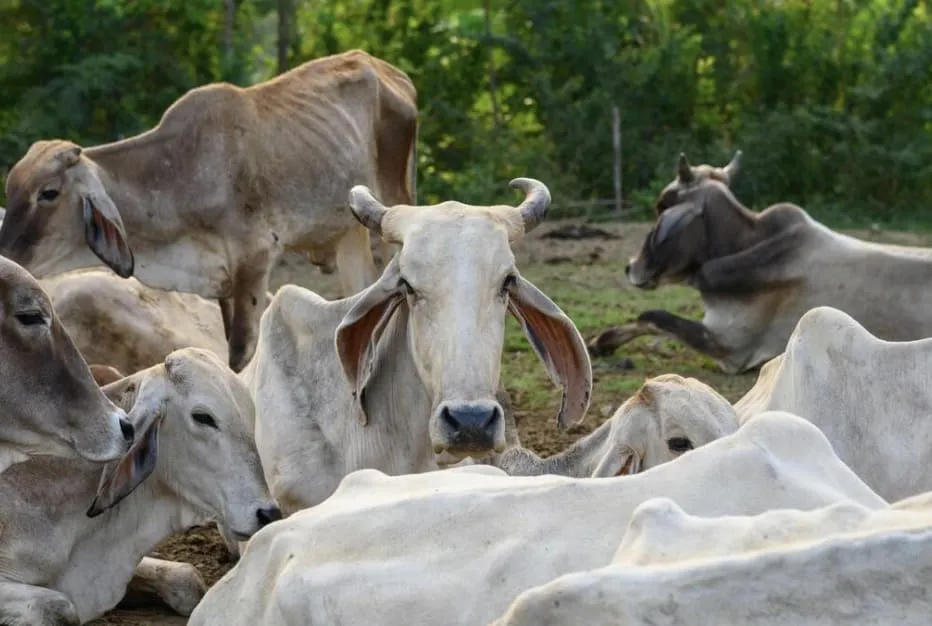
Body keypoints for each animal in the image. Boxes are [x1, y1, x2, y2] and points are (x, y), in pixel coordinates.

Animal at [0, 48, 418, 373]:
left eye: (48, 193)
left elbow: (242, 353)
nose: (7, 256)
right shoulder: (224, 280)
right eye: (11, 189)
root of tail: (387, 70)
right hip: (349, 232)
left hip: (395, 199)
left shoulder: (256, 261)